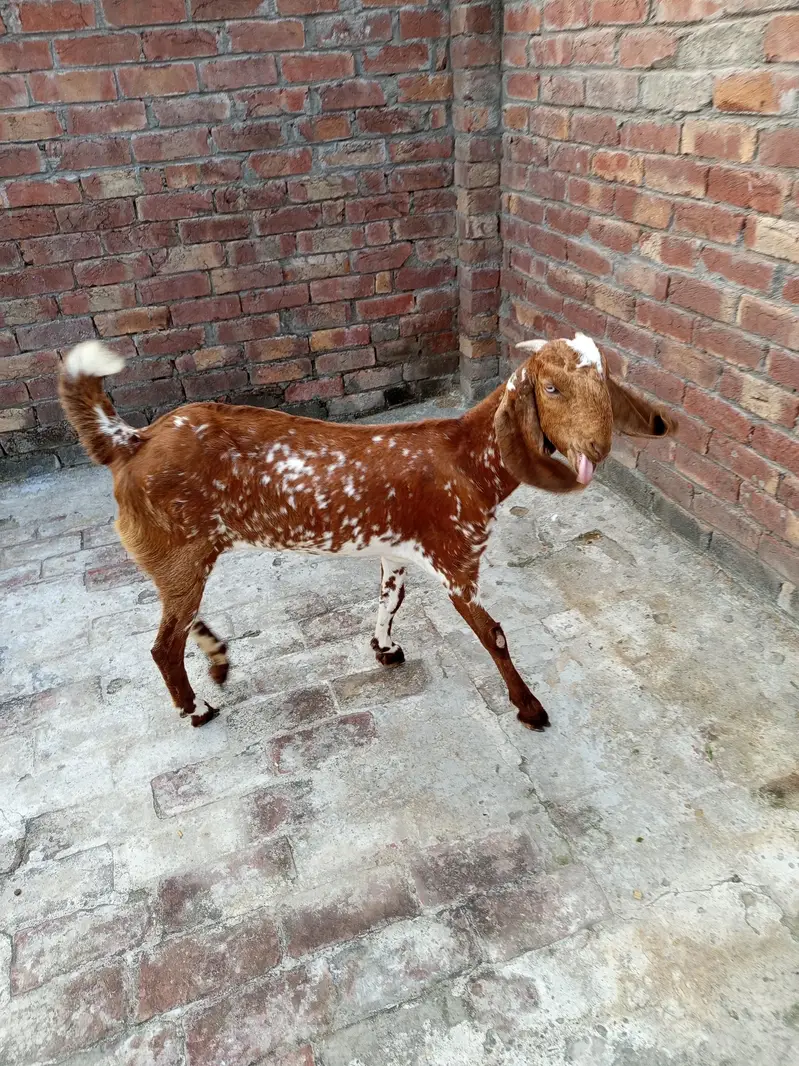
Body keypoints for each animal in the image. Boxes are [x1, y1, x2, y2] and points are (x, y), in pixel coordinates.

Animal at [59, 335, 675, 730]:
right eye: (550, 389)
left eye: (604, 383)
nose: (598, 447)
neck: (468, 459)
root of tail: (132, 441)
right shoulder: (458, 562)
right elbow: (494, 634)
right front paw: (530, 709)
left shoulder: (397, 552)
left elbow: (391, 600)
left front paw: (384, 647)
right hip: (180, 553)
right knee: (164, 645)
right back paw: (196, 709)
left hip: (182, 558)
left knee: (181, 623)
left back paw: (216, 655)